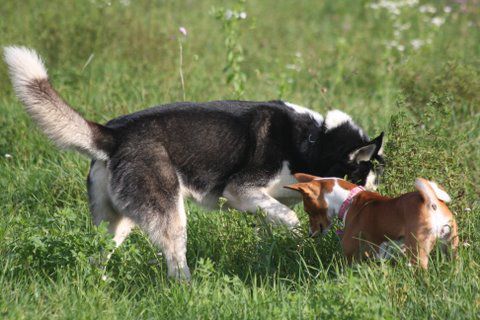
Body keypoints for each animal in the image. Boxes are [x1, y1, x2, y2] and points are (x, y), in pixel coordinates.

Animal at [3, 46, 384, 278]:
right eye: (357, 181)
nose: (370, 206)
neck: (312, 141)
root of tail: (112, 135)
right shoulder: (241, 190)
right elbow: (290, 219)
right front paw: (299, 239)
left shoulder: (260, 204)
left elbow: (272, 227)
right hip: (171, 215)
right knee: (175, 265)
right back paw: (189, 289)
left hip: (116, 223)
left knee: (98, 256)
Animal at [284, 172, 458, 268]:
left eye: (308, 211)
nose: (310, 234)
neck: (350, 199)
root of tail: (431, 202)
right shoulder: (381, 253)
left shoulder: (352, 254)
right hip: (451, 246)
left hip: (417, 250)